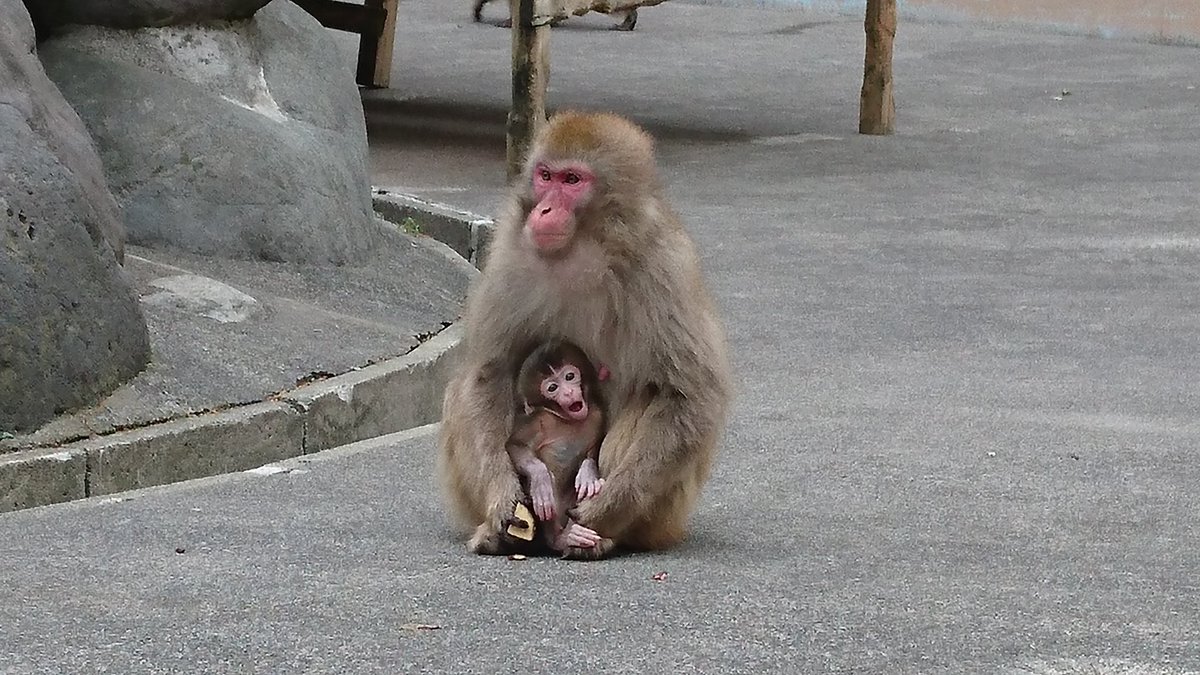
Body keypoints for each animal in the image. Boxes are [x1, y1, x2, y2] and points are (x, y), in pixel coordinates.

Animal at [505, 340, 610, 554]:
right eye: (552, 387)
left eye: (569, 376)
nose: (568, 392)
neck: (568, 421)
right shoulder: (540, 420)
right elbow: (515, 444)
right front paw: (541, 480)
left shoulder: (596, 413)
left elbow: (597, 444)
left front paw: (588, 474)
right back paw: (562, 538)